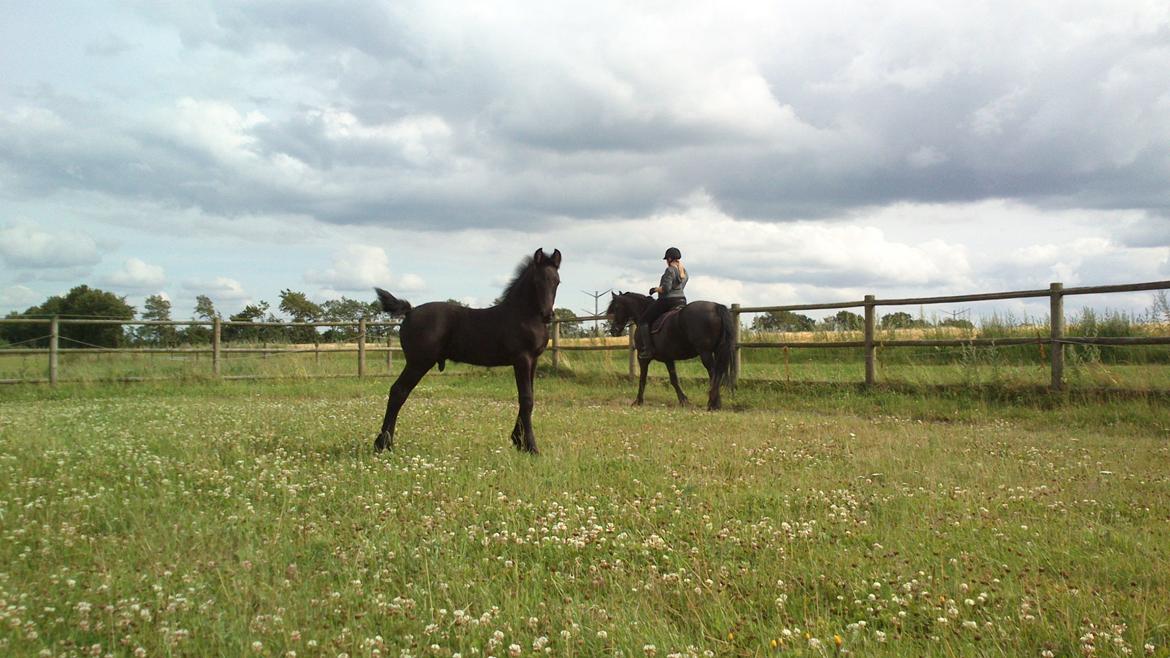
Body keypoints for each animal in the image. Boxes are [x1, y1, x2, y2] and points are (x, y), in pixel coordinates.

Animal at [372, 245, 559, 449]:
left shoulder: (533, 360)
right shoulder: (522, 359)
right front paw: (531, 447)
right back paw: (383, 444)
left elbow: (528, 397)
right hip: (418, 363)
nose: (547, 315)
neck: (523, 314)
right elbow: (526, 399)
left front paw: (518, 441)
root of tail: (410, 311)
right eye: (537, 281)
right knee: (398, 392)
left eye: (557, 282)